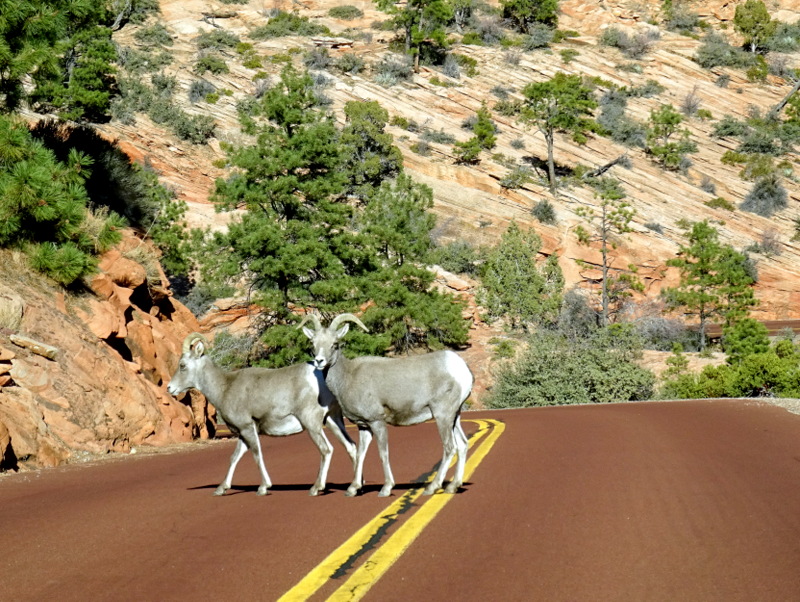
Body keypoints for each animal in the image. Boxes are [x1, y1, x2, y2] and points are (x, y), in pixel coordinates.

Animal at [167, 330, 354, 494]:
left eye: (182, 365)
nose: (169, 388)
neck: (225, 387)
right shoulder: (243, 432)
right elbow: (234, 457)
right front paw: (221, 489)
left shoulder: (247, 428)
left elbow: (257, 455)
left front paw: (263, 487)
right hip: (333, 420)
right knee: (350, 446)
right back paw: (354, 487)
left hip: (312, 424)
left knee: (326, 449)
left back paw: (316, 488)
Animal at [300, 312, 476, 494]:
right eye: (313, 343)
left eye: (334, 344)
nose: (319, 361)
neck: (348, 377)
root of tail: (461, 368)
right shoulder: (364, 426)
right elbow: (361, 454)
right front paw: (353, 488)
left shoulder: (377, 422)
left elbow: (383, 453)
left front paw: (386, 488)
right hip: (454, 417)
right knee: (462, 445)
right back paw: (452, 487)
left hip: (443, 416)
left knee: (449, 447)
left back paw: (432, 488)